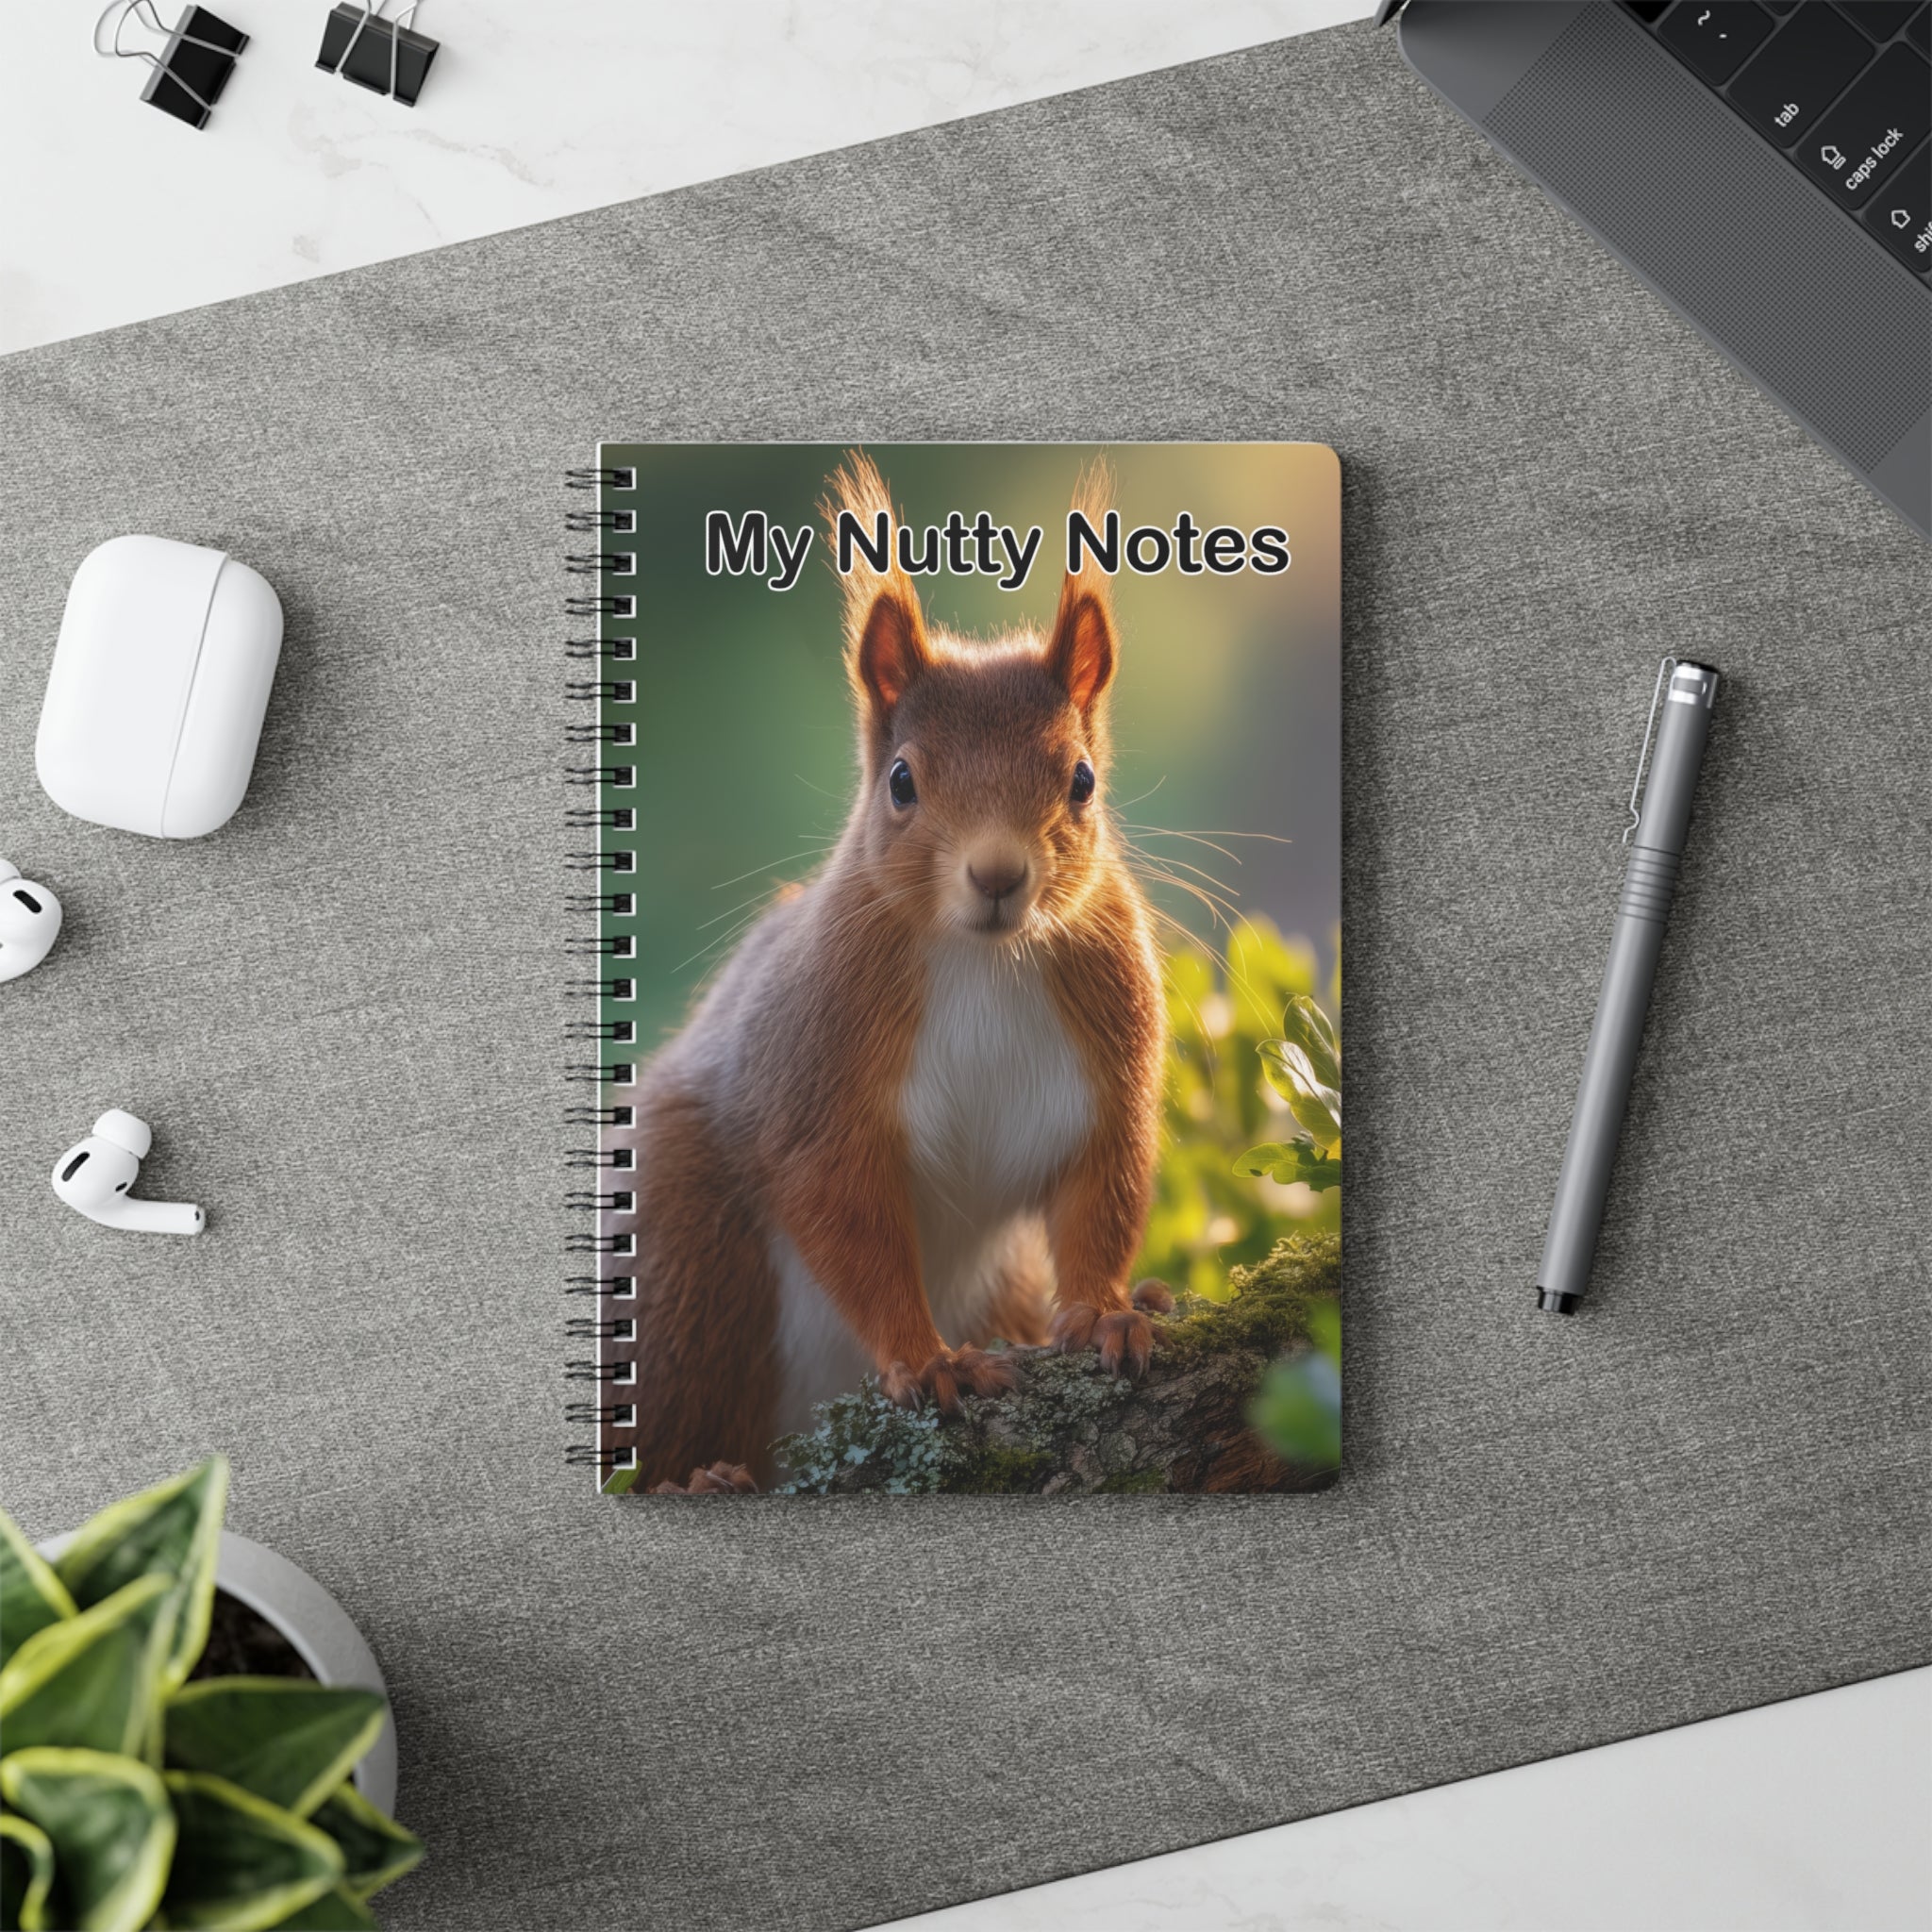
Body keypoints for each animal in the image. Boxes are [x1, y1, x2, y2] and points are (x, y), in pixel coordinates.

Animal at [625, 453, 1172, 1494]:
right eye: (902, 781)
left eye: (1080, 781)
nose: (997, 875)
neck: (984, 959)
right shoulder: (818, 1070)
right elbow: (845, 1216)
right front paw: (927, 1360)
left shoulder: (1105, 1050)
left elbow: (1102, 1187)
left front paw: (1107, 1311)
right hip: (683, 1261)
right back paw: (700, 1475)